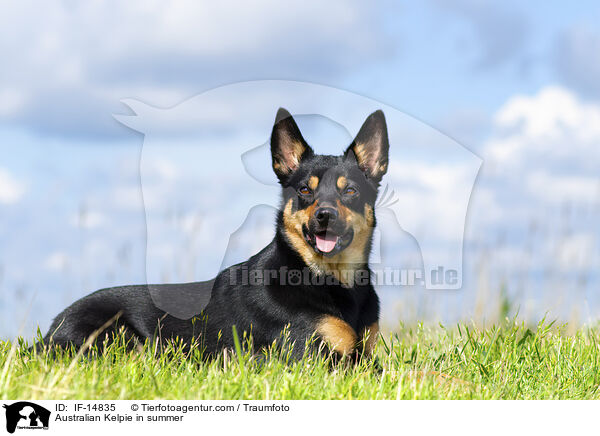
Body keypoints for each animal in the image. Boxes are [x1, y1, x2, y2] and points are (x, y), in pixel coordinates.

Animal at [42, 109, 390, 362]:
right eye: (305, 190)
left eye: (350, 191)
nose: (324, 216)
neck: (326, 276)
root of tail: (48, 333)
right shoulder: (311, 357)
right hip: (121, 337)